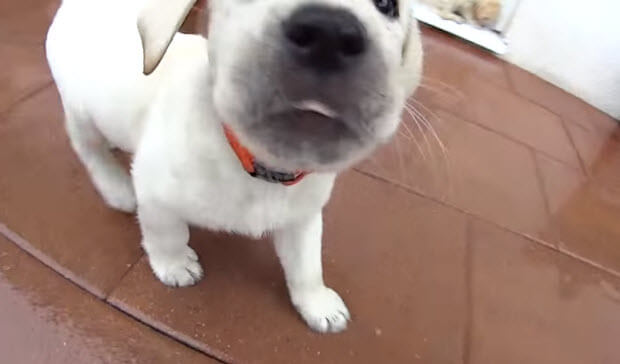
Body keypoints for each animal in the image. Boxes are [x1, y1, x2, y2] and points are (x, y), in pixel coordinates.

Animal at [44, 0, 422, 332]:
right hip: (79, 111)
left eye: (387, 5)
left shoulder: (303, 219)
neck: (257, 166)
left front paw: (317, 304)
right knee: (88, 149)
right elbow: (167, 235)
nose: (328, 34)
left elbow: (307, 266)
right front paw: (174, 265)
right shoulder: (155, 196)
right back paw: (116, 187)